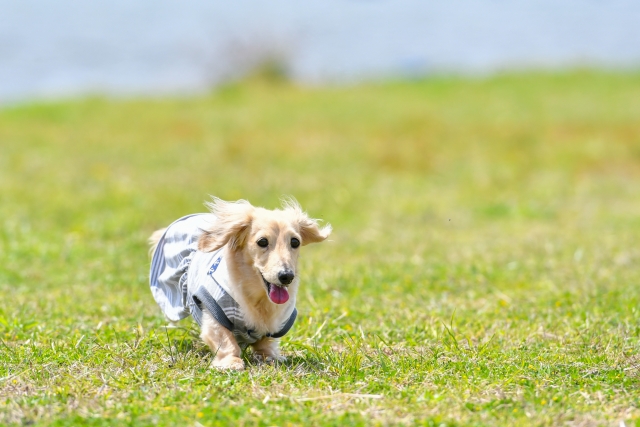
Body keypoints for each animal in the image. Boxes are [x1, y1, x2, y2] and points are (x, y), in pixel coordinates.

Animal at [148, 199, 332, 370]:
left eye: (295, 242)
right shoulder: (213, 311)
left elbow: (266, 341)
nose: (286, 276)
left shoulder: (279, 321)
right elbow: (225, 340)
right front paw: (231, 362)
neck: (258, 300)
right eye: (262, 242)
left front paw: (270, 357)